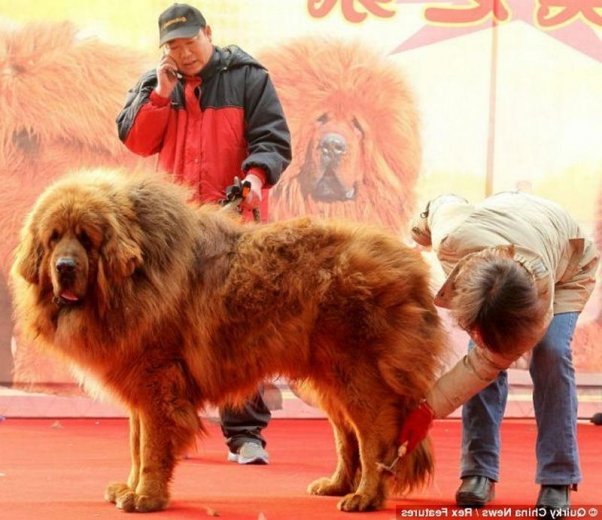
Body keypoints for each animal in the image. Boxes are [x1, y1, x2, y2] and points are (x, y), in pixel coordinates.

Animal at [10, 171, 446, 512]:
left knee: (375, 438)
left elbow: (150, 447)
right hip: (327, 379)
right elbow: (136, 445)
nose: (65, 267)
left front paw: (146, 498)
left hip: (356, 376)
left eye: (86, 239)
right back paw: (338, 485)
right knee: (348, 436)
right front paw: (129, 489)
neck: (132, 280)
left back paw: (365, 497)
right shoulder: (139, 386)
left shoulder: (157, 385)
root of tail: (411, 265)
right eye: (54, 238)